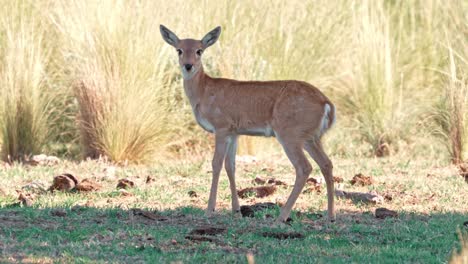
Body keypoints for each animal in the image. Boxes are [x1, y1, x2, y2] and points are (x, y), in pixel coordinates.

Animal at [161, 24, 336, 223]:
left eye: (199, 50)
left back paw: (281, 217)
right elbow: (231, 166)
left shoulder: (221, 128)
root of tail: (326, 104)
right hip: (310, 138)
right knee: (326, 164)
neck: (203, 91)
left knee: (304, 167)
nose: (188, 66)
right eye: (179, 50)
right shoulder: (234, 133)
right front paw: (236, 210)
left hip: (289, 135)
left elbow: (216, 164)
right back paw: (330, 216)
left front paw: (209, 210)